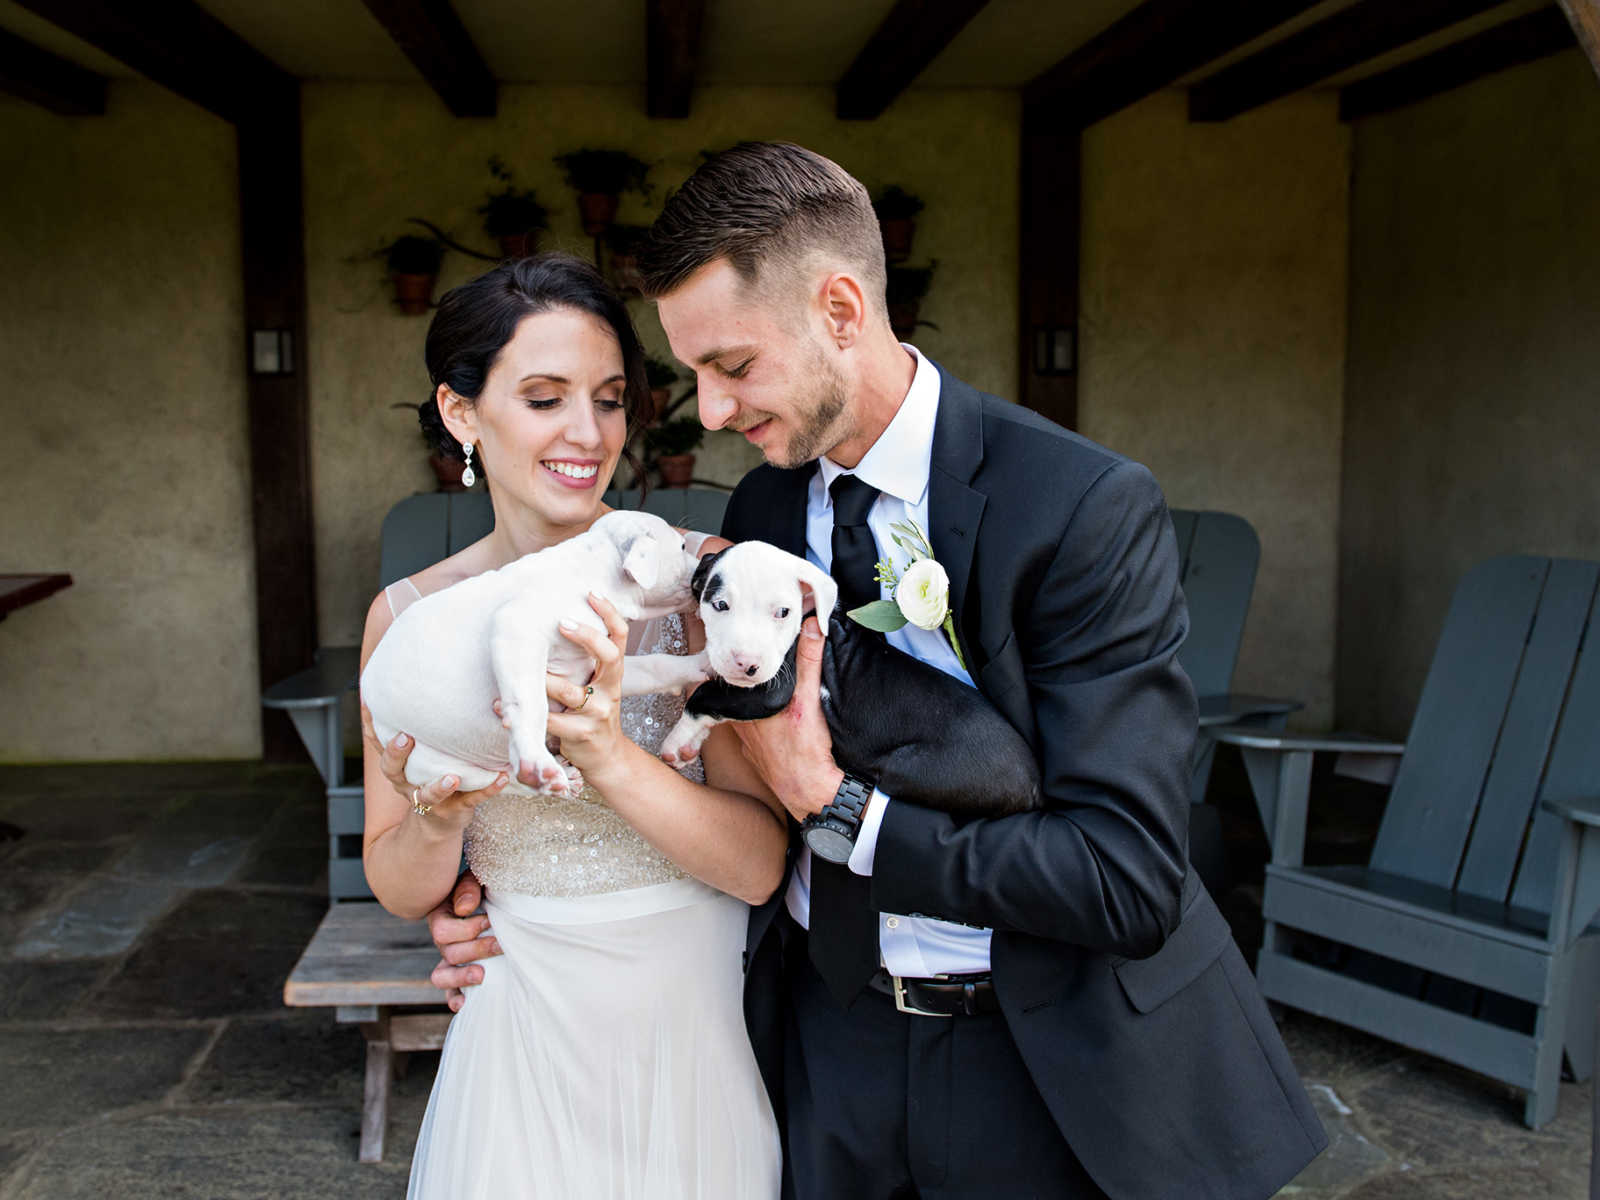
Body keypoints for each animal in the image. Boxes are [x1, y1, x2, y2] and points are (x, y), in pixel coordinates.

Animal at [366, 508, 716, 800]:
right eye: (682, 547)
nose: (708, 560)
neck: (593, 572)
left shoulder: (594, 666)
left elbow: (656, 666)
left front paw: (703, 663)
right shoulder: (518, 628)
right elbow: (531, 703)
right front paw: (534, 758)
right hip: (434, 764)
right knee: (502, 781)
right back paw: (548, 774)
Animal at [659, 544, 1043, 819]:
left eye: (783, 612)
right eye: (720, 605)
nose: (747, 664)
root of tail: (1035, 784)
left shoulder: (773, 689)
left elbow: (705, 695)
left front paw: (675, 740)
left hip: (909, 767)